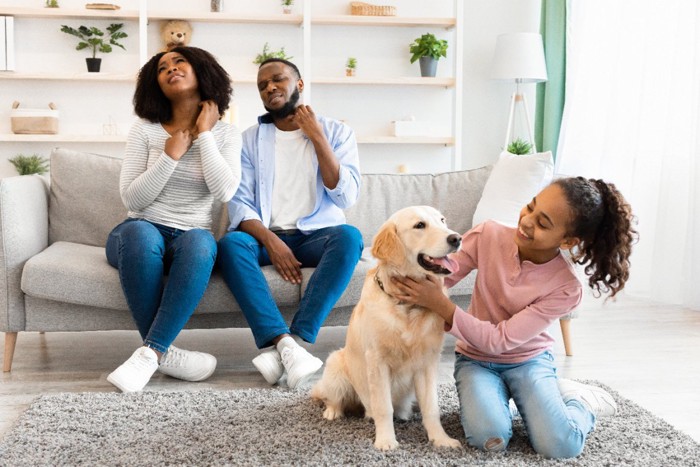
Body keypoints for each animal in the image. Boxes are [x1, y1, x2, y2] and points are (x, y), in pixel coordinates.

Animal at [314, 207, 462, 452]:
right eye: (419, 225)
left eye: (443, 220)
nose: (457, 238)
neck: (405, 306)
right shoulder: (377, 361)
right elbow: (383, 407)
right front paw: (385, 440)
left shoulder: (427, 362)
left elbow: (431, 407)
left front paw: (440, 439)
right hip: (336, 365)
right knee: (332, 398)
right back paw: (333, 412)